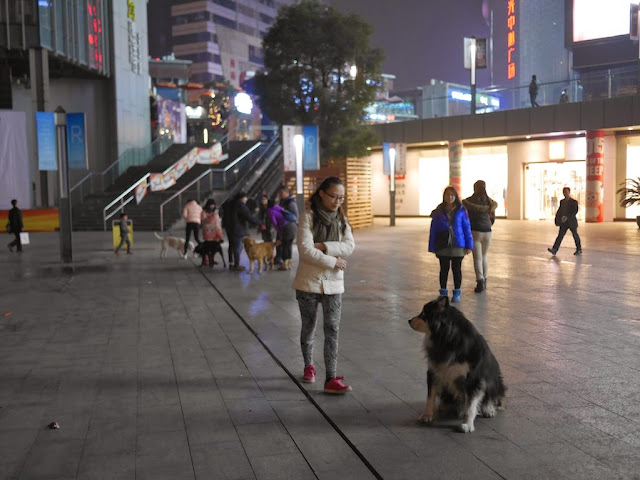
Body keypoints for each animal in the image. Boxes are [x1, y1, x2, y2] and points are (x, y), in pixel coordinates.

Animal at [408, 294, 508, 434]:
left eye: (424, 314)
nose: (409, 320)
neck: (446, 338)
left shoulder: (473, 379)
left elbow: (470, 405)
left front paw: (467, 424)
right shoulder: (433, 371)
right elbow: (430, 396)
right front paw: (427, 415)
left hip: (495, 379)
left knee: (492, 396)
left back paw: (488, 409)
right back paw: (443, 406)